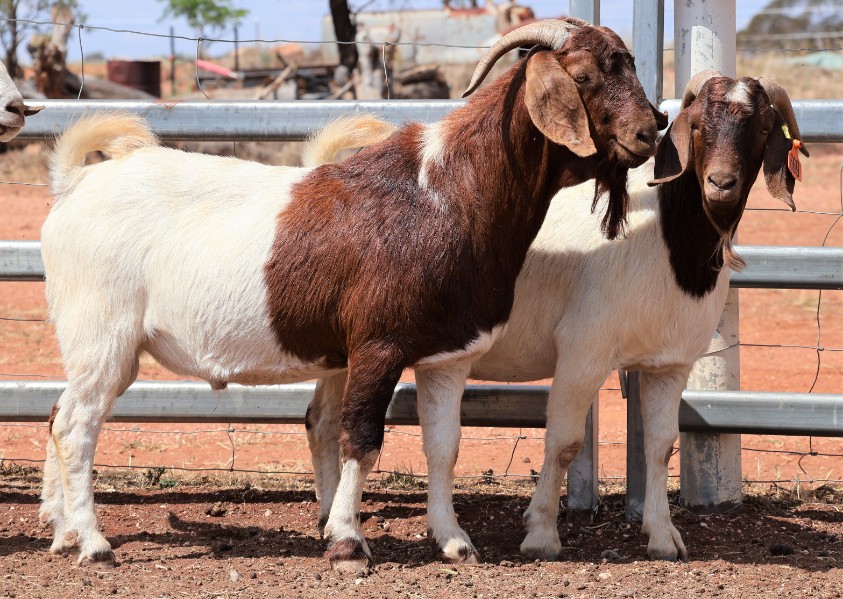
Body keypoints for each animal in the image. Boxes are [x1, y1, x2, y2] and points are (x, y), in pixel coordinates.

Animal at [40, 19, 662, 571]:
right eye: (583, 76)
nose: (649, 132)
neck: (448, 194)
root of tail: (76, 184)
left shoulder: (448, 357)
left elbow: (444, 445)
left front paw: (455, 542)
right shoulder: (377, 346)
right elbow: (361, 438)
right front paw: (346, 542)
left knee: (58, 418)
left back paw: (65, 534)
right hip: (103, 338)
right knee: (76, 426)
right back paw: (94, 544)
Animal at [306, 71, 806, 562]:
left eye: (763, 128)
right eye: (698, 125)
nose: (721, 183)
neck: (669, 241)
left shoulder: (670, 363)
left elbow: (662, 446)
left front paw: (664, 537)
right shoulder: (583, 352)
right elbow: (564, 443)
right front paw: (542, 535)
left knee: (319, 420)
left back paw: (329, 516)